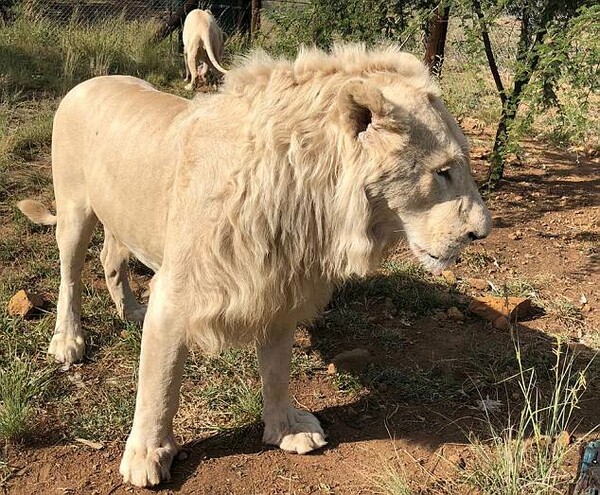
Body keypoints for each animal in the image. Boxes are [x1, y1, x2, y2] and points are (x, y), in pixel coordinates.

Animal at [18, 43, 492, 488]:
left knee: (110, 257)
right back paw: (68, 341)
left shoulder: (279, 286)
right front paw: (146, 456)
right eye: (443, 171)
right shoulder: (175, 297)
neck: (305, 195)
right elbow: (160, 385)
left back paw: (130, 311)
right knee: (71, 276)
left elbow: (278, 370)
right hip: (74, 210)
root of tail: (88, 82)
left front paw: (287, 430)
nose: (481, 232)